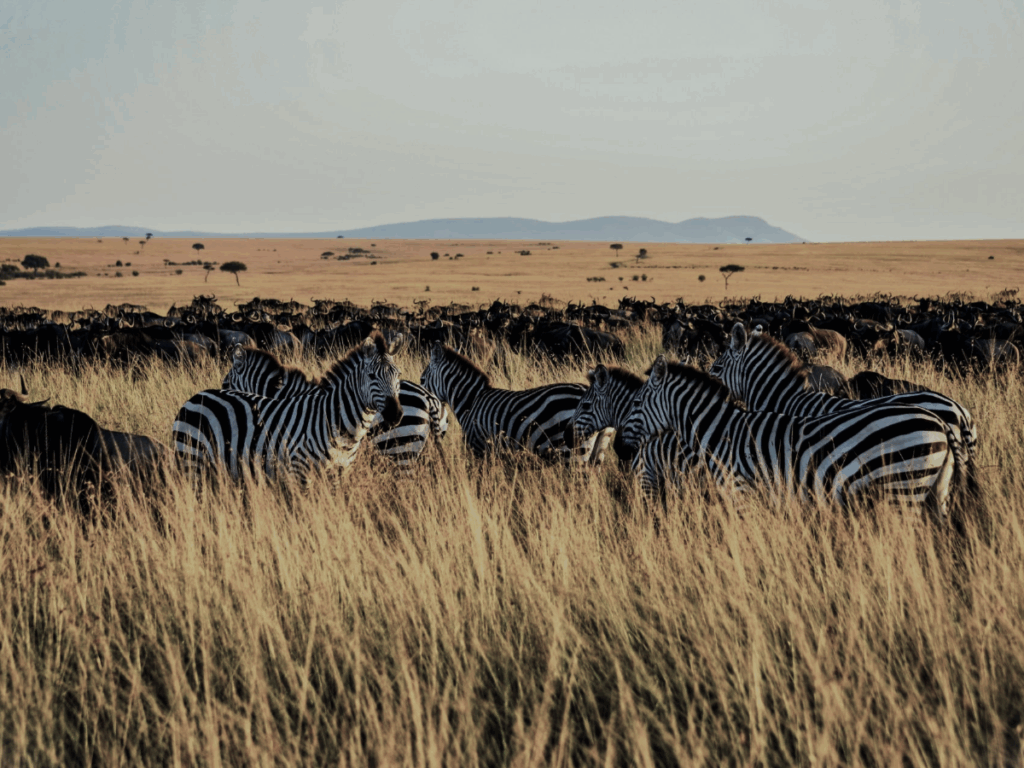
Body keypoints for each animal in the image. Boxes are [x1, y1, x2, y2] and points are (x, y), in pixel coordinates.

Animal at [173, 333, 403, 480]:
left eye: (398, 375)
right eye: (371, 376)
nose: (395, 414)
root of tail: (194, 397)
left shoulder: (339, 472)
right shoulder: (298, 470)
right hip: (192, 460)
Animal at [621, 356, 960, 518]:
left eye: (636, 403)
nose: (620, 448)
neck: (719, 434)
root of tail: (941, 423)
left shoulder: (741, 492)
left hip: (904, 488)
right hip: (935, 491)